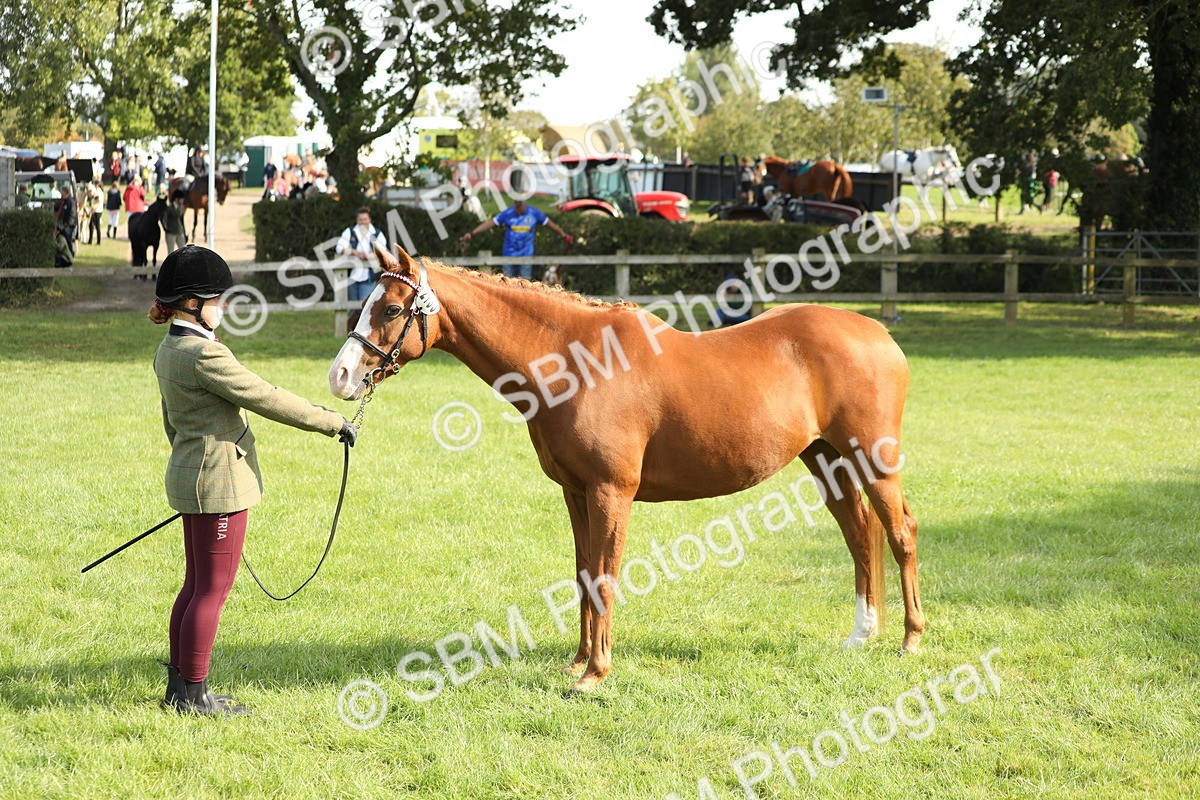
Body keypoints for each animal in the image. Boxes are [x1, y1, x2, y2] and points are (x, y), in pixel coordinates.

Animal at [327, 246, 925, 694]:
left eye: (391, 309)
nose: (340, 376)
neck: (577, 362)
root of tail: (878, 334)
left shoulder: (611, 493)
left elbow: (606, 578)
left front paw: (595, 674)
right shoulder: (575, 493)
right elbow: (583, 574)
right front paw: (577, 661)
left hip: (873, 460)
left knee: (899, 532)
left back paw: (910, 639)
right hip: (826, 458)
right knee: (858, 533)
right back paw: (861, 635)